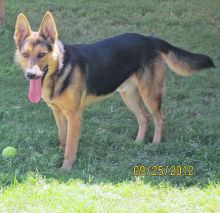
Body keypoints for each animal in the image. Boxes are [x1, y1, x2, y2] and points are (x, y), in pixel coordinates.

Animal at [14, 11, 215, 171]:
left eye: (41, 55)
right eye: (25, 55)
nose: (31, 75)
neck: (61, 68)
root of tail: (150, 39)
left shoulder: (74, 116)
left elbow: (70, 145)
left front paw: (66, 168)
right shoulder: (58, 113)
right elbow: (63, 139)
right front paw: (59, 156)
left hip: (149, 95)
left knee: (159, 118)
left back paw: (155, 144)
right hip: (129, 96)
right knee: (144, 118)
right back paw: (138, 143)